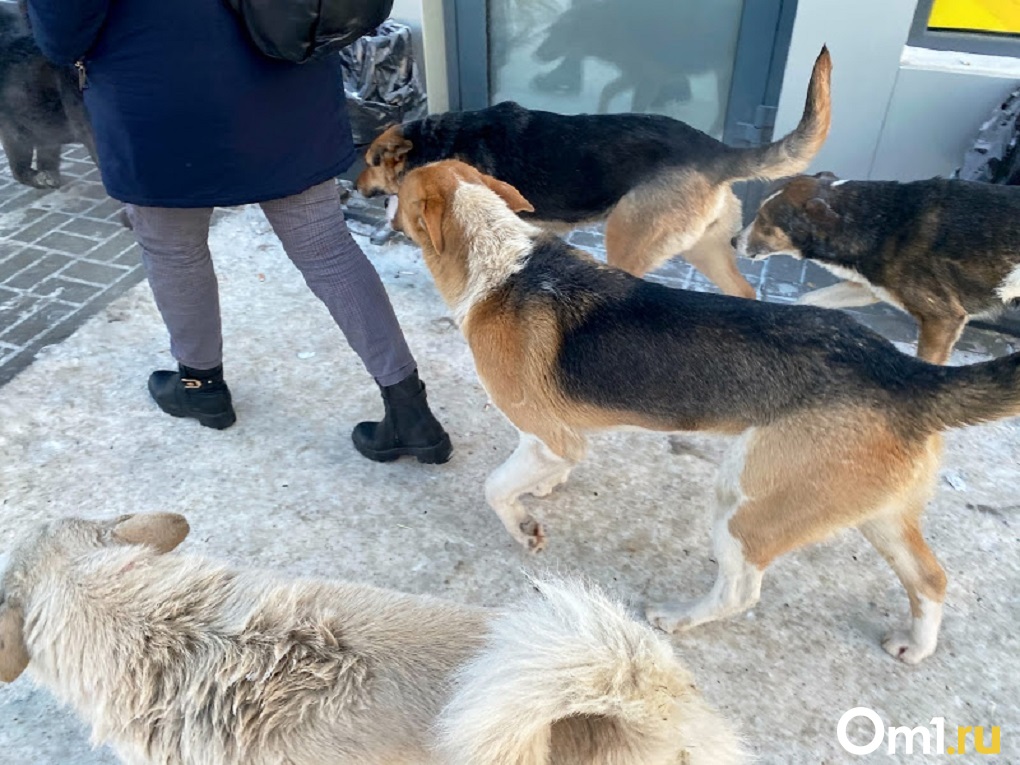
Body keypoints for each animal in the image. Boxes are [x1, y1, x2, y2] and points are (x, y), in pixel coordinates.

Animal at [359, 46, 836, 301]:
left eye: (368, 162)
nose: (355, 185)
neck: (435, 140)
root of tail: (714, 151)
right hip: (704, 248)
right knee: (745, 293)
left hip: (628, 241)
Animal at [738, 173, 1020, 365]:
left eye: (764, 222)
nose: (733, 241)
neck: (883, 222)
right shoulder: (870, 289)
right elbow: (807, 299)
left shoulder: (943, 319)